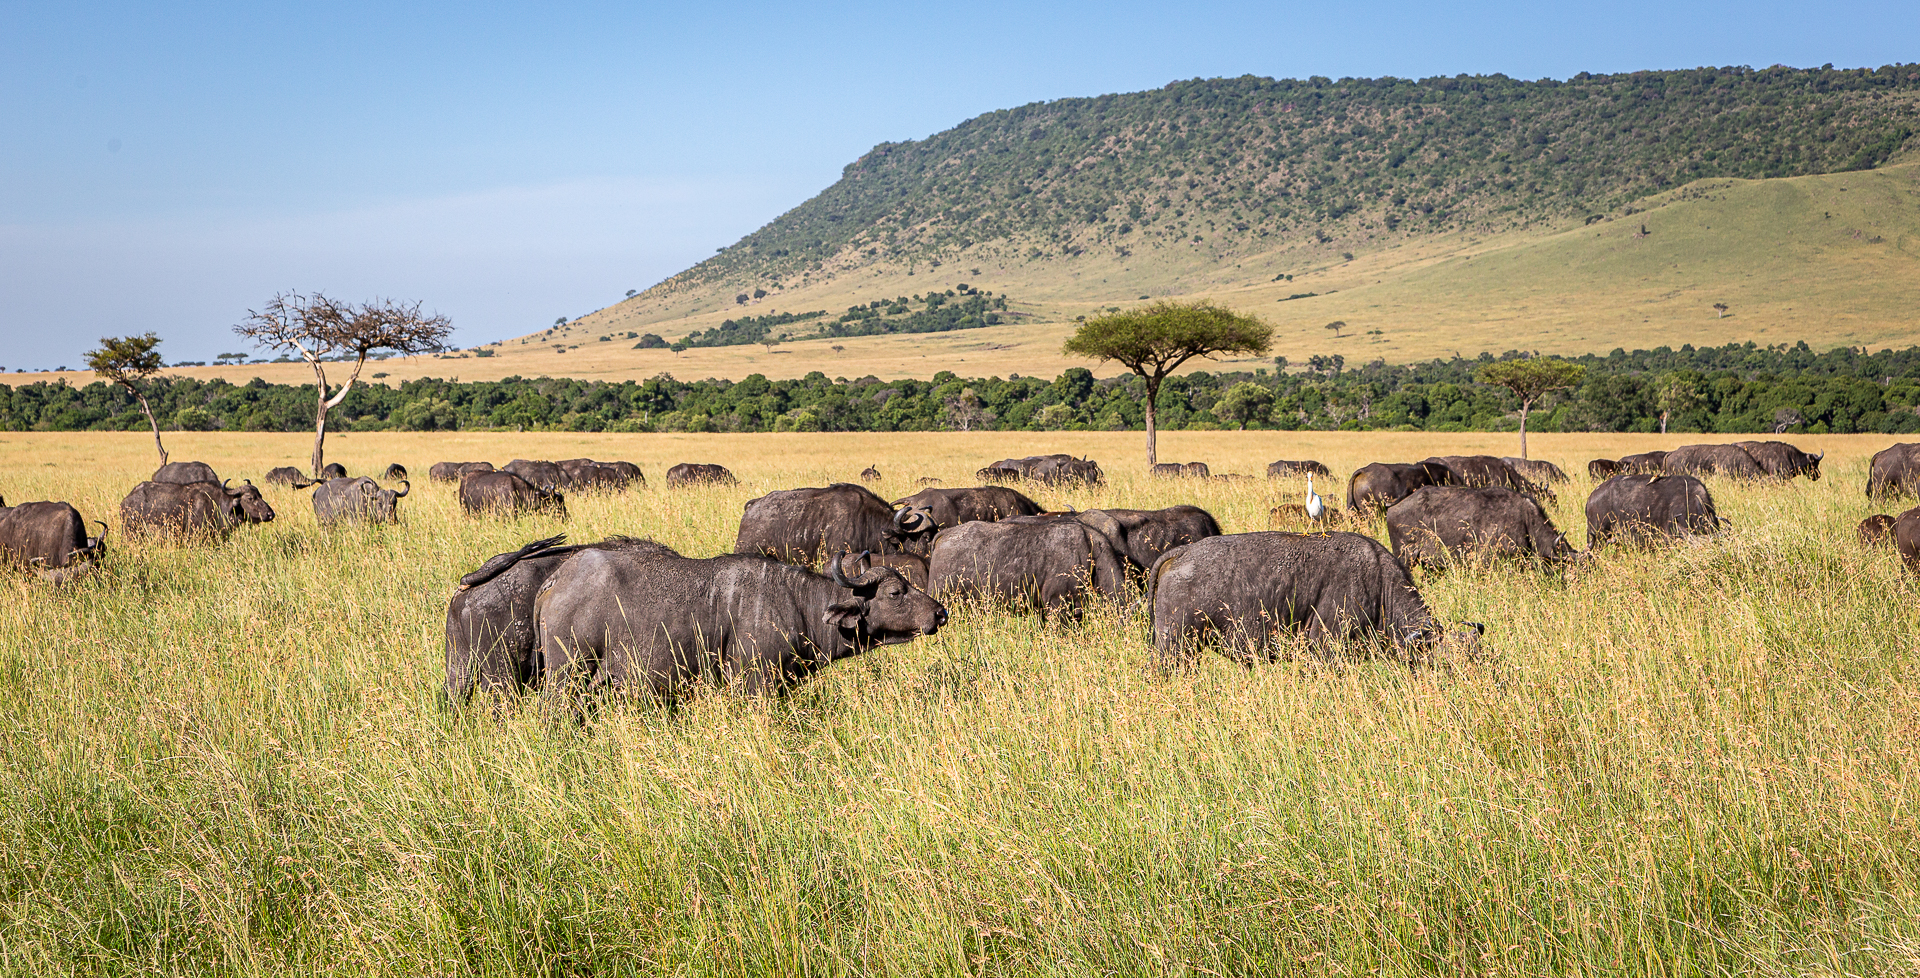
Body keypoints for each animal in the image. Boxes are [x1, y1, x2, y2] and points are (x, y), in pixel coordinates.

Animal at [536, 548, 947, 705]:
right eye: (895, 592)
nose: (940, 613)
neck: (796, 603)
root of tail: (557, 577)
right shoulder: (754, 684)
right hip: (567, 676)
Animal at [1149, 531, 1474, 666]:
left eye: (1477, 657)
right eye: (1445, 664)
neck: (1379, 582)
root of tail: (1183, 553)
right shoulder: (1325, 646)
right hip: (1174, 646)